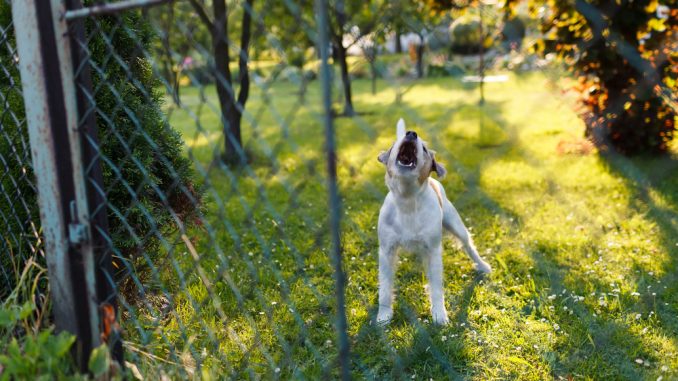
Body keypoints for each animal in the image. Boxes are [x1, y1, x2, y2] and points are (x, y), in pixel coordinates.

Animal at [378, 119, 494, 324]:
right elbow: (385, 287)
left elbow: (436, 287)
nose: (411, 133)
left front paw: (439, 314)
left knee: (469, 246)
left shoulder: (433, 251)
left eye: (424, 148)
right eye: (396, 143)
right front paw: (383, 315)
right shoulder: (386, 250)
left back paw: (482, 266)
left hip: (457, 226)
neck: (408, 200)